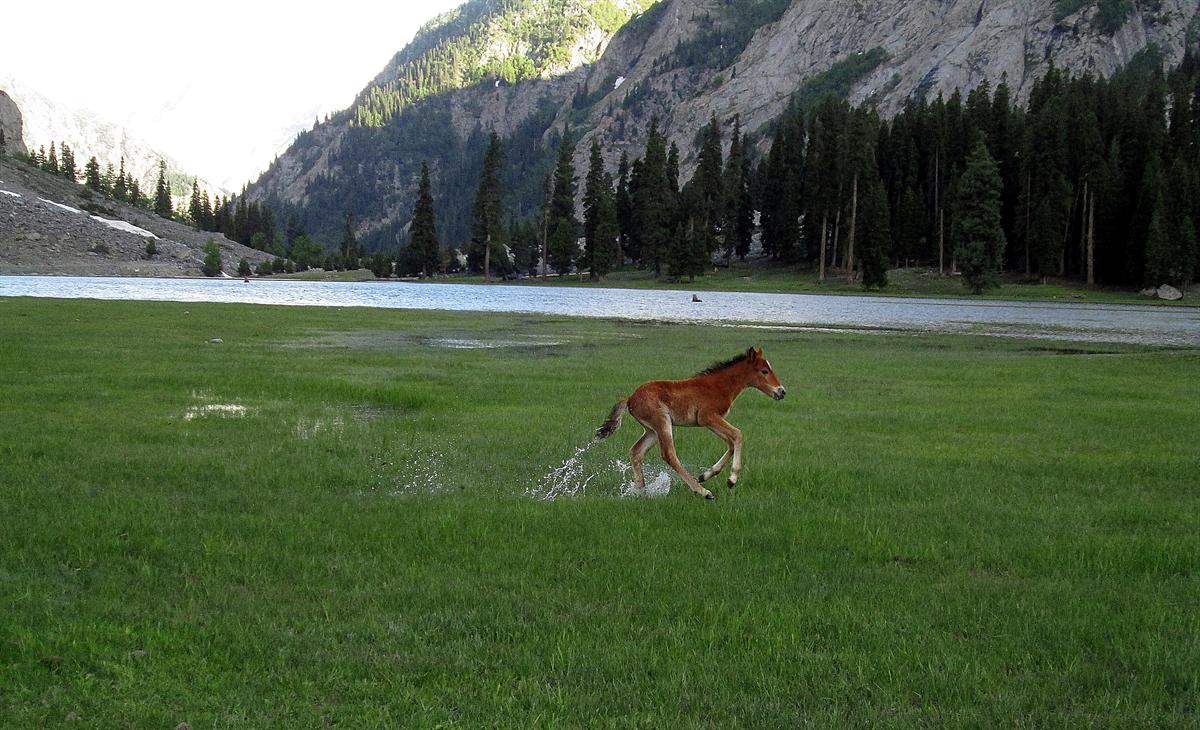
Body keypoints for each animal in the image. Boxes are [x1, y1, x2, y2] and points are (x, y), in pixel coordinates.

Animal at [595, 347, 785, 500]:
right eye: (764, 371)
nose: (781, 391)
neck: (720, 385)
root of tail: (630, 399)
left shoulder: (710, 422)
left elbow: (731, 443)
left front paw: (706, 475)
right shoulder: (708, 417)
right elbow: (738, 435)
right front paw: (731, 480)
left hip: (652, 430)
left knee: (636, 452)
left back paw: (641, 491)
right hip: (662, 422)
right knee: (669, 455)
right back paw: (703, 492)